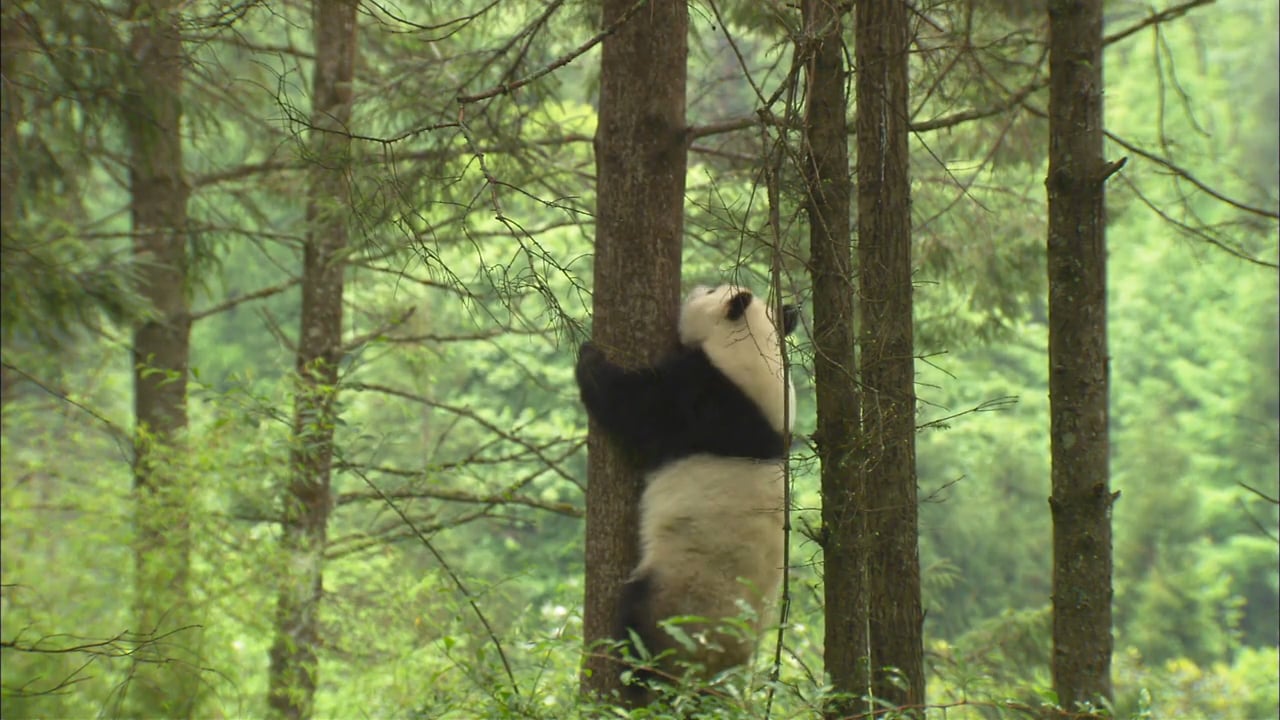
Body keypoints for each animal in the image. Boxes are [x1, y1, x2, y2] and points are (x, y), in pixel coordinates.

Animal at [575, 283, 799, 702]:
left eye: (711, 289)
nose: (694, 287)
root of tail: (711, 666)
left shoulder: (706, 399)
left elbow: (636, 409)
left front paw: (590, 358)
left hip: (681, 598)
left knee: (641, 629)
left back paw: (638, 684)